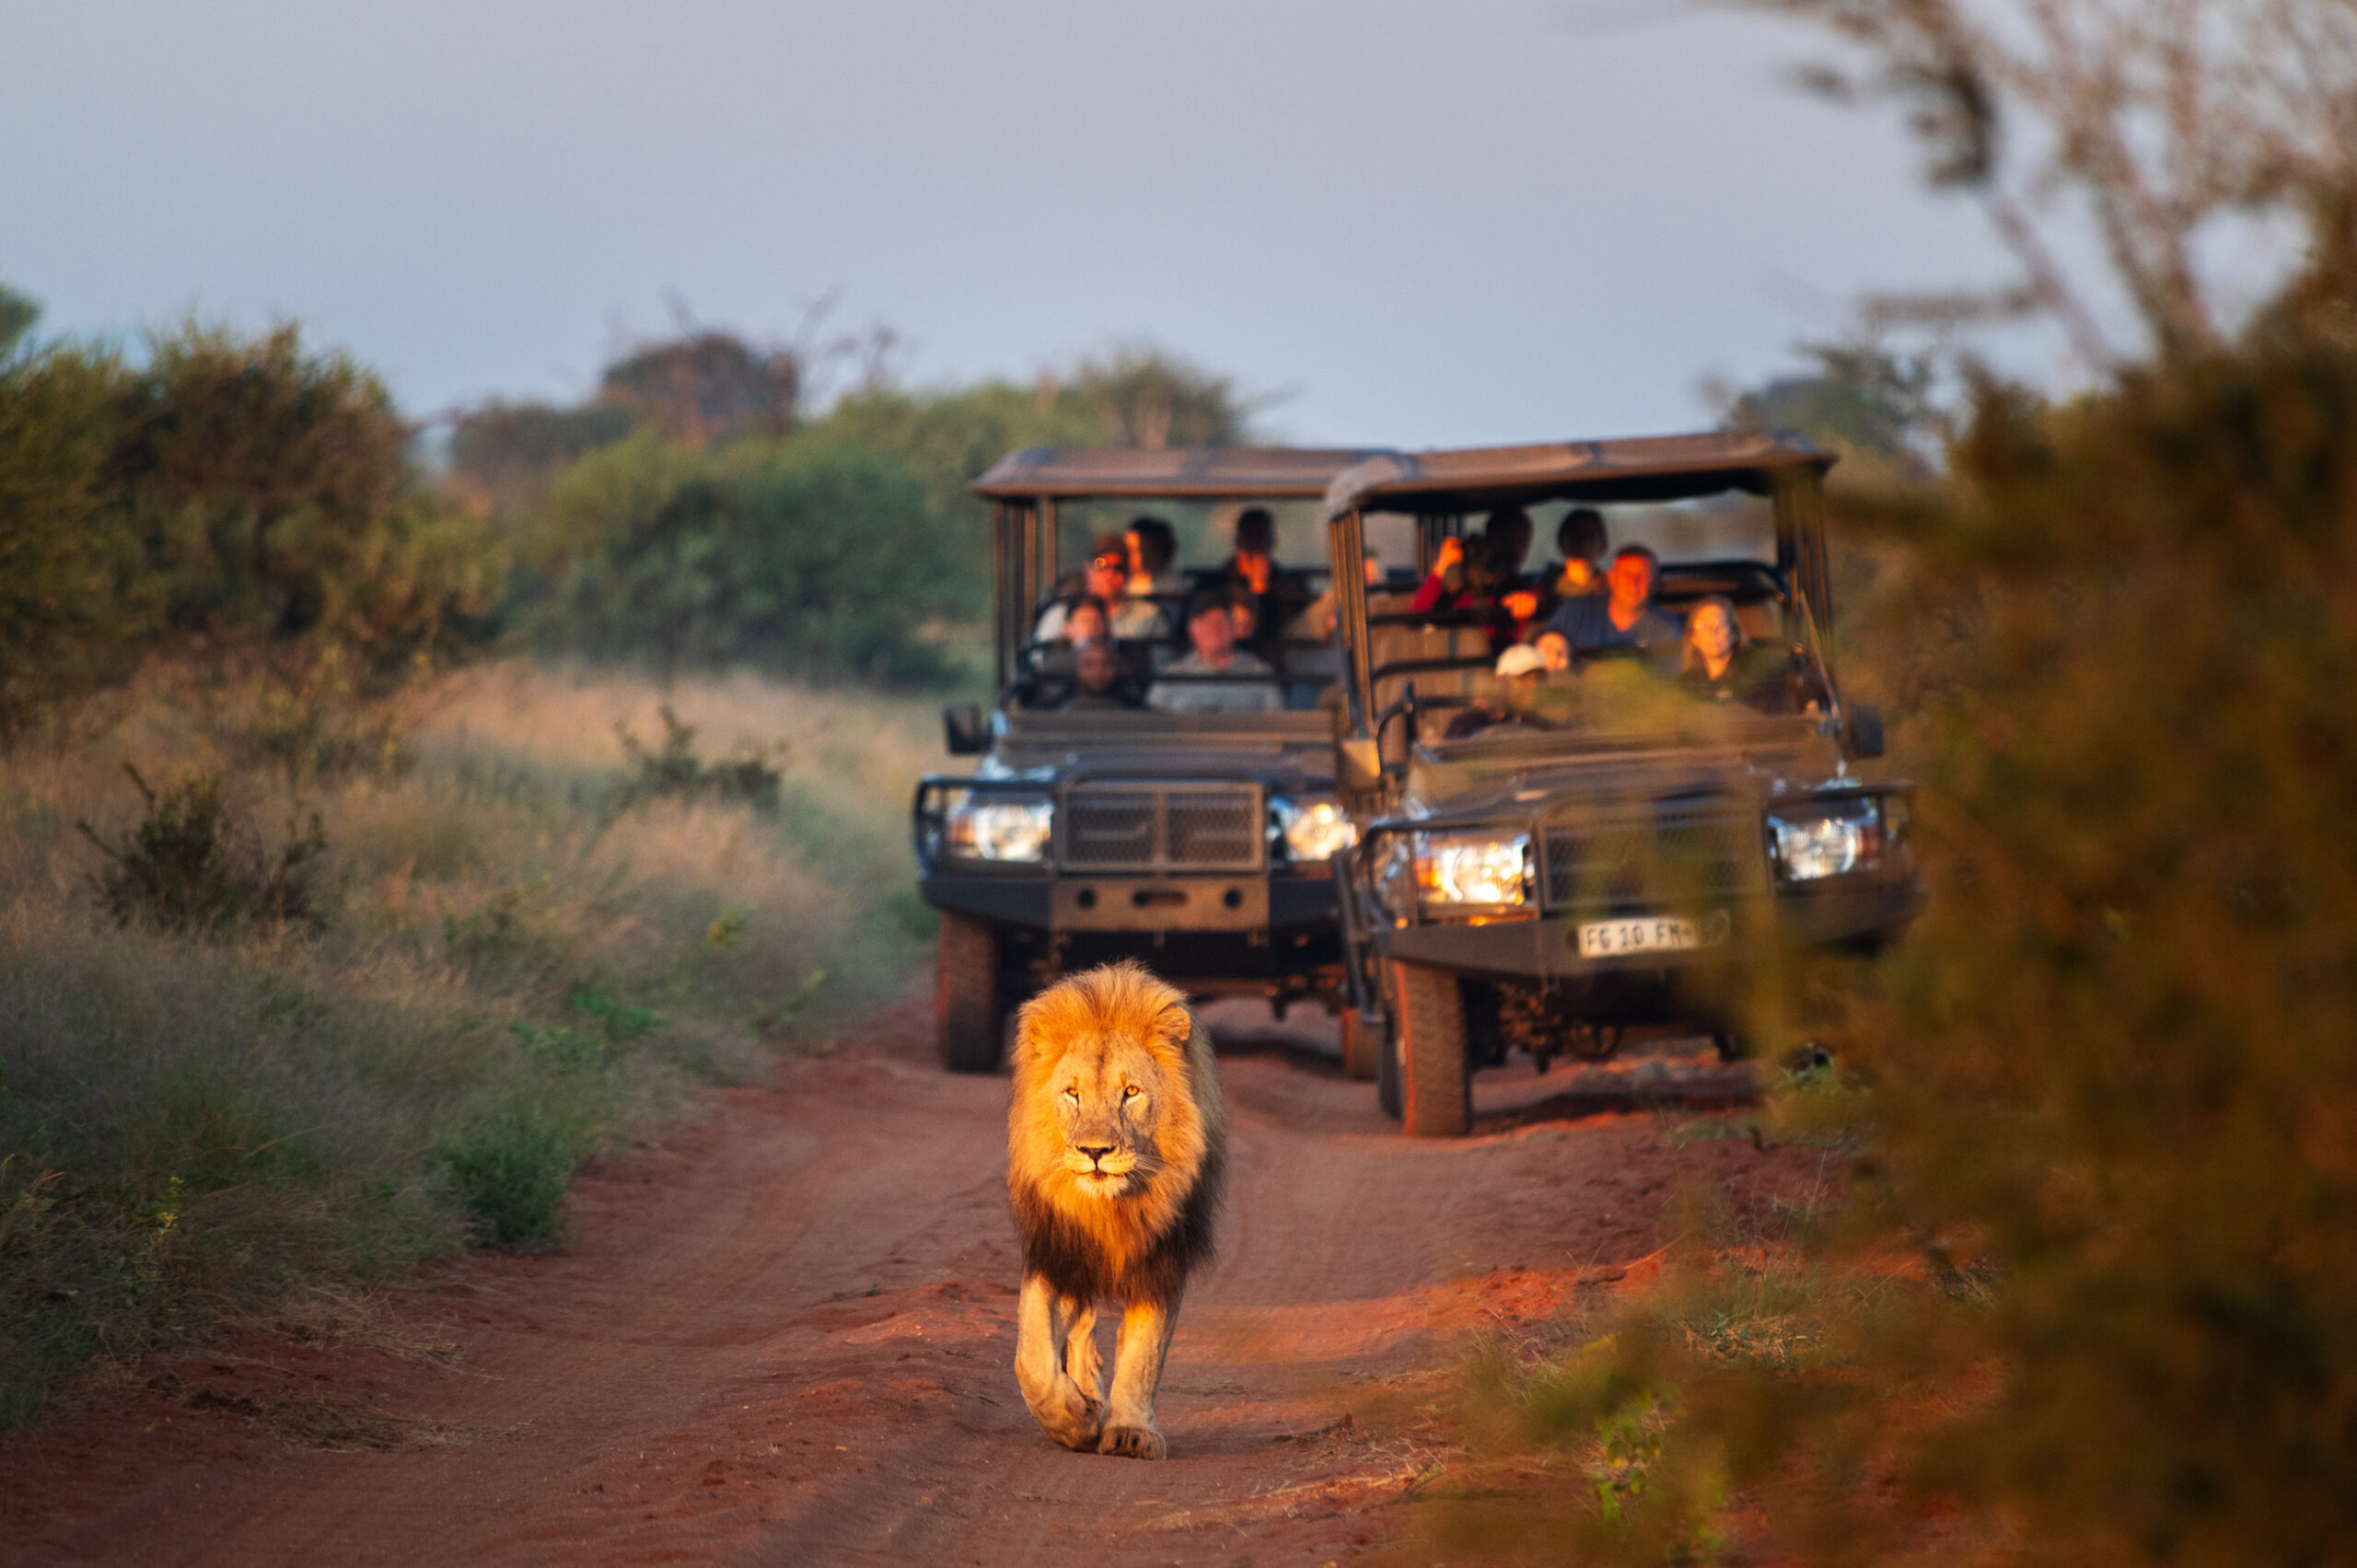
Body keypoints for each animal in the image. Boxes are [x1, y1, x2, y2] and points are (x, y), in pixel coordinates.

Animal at [1004, 961, 1225, 1461]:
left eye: (1131, 1092)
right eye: (1072, 1093)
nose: (1095, 1152)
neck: (1110, 1212)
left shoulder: (1161, 1260)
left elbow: (1144, 1355)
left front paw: (1128, 1433)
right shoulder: (1058, 1250)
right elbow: (1032, 1359)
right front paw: (1075, 1419)